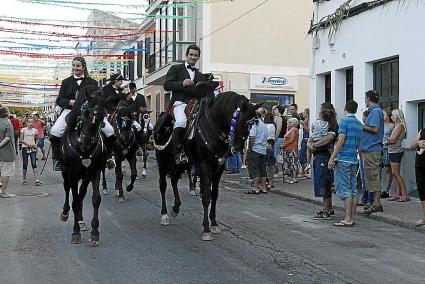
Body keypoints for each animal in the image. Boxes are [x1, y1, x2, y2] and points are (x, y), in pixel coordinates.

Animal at [58, 89, 106, 246]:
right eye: (85, 112)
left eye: (102, 115)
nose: (84, 142)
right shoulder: (72, 174)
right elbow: (75, 202)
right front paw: (75, 233)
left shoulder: (95, 171)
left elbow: (95, 199)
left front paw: (95, 232)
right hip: (66, 173)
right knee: (68, 190)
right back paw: (65, 213)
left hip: (85, 176)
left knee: (81, 194)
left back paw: (81, 221)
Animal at [153, 86, 258, 237]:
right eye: (241, 121)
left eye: (252, 123)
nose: (238, 148)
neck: (213, 127)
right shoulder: (204, 166)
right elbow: (207, 195)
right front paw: (206, 229)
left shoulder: (218, 167)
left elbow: (214, 195)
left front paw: (214, 224)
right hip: (163, 162)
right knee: (163, 185)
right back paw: (164, 214)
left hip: (182, 163)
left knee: (173, 179)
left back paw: (176, 208)